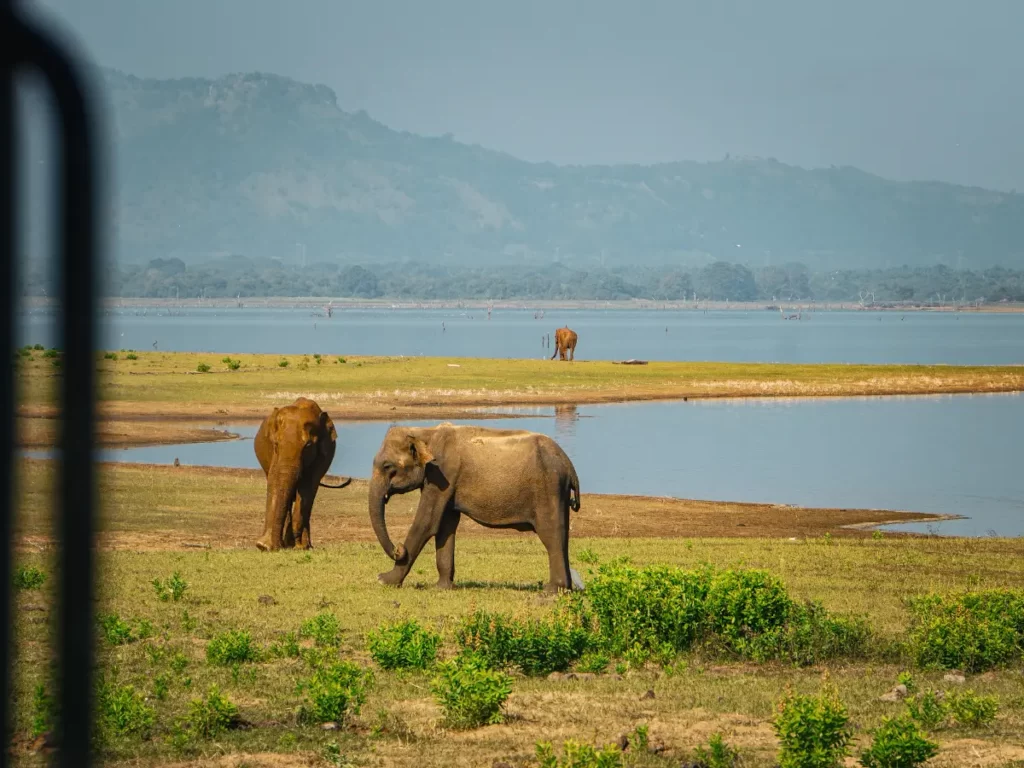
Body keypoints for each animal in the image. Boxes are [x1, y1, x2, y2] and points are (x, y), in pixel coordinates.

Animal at [252, 397, 350, 552]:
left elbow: (307, 486)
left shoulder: (324, 453)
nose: (275, 547)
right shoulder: (273, 454)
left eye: (308, 446)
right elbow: (274, 481)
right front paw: (264, 546)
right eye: (276, 444)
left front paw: (299, 546)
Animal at [368, 423, 581, 593]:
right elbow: (445, 526)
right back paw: (564, 589)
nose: (398, 549)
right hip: (557, 491)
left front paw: (384, 580)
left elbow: (427, 523)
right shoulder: (445, 483)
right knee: (561, 536)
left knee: (550, 534)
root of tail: (569, 464)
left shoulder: (442, 475)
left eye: (387, 466)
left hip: (548, 488)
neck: (425, 432)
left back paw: (552, 590)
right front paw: (442, 588)